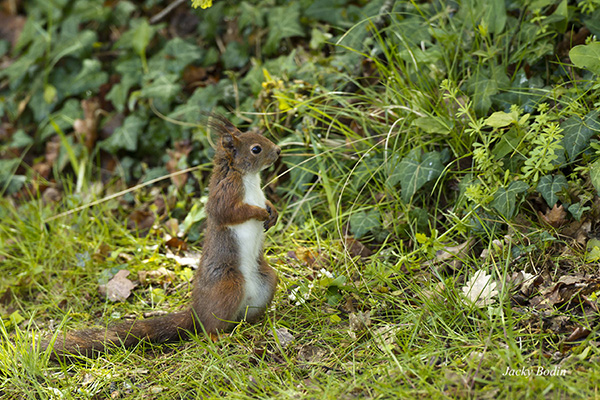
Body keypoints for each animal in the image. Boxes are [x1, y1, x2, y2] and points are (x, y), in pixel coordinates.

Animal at [43, 113, 282, 360]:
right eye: (256, 149)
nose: (278, 151)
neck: (248, 178)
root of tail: (197, 312)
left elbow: (265, 202)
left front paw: (272, 212)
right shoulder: (225, 193)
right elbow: (230, 212)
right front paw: (260, 213)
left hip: (267, 280)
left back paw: (259, 321)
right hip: (228, 286)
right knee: (210, 327)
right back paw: (220, 337)